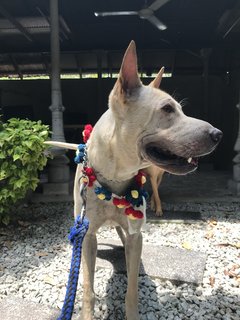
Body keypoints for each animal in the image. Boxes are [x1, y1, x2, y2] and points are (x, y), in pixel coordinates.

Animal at [44, 41, 221, 318]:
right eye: (167, 109)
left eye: (180, 109)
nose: (218, 134)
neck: (115, 178)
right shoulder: (87, 235)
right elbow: (88, 289)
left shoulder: (136, 234)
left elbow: (132, 290)